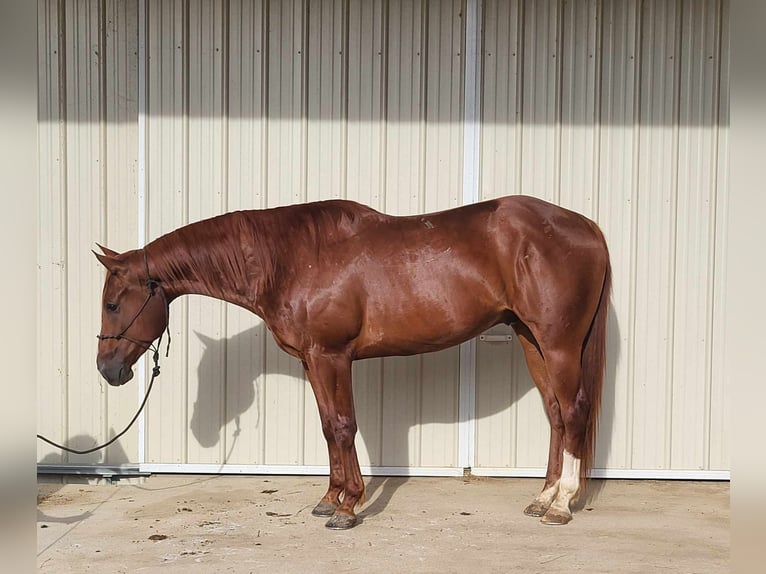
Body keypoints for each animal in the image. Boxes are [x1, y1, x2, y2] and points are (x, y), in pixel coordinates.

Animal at [94, 197, 612, 532]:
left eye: (114, 304)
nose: (107, 370)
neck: (288, 259)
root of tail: (586, 226)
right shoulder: (313, 361)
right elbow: (329, 427)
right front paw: (329, 499)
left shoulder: (332, 355)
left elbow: (344, 426)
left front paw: (348, 508)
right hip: (531, 339)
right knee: (555, 415)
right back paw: (542, 498)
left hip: (559, 343)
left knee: (574, 411)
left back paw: (562, 505)